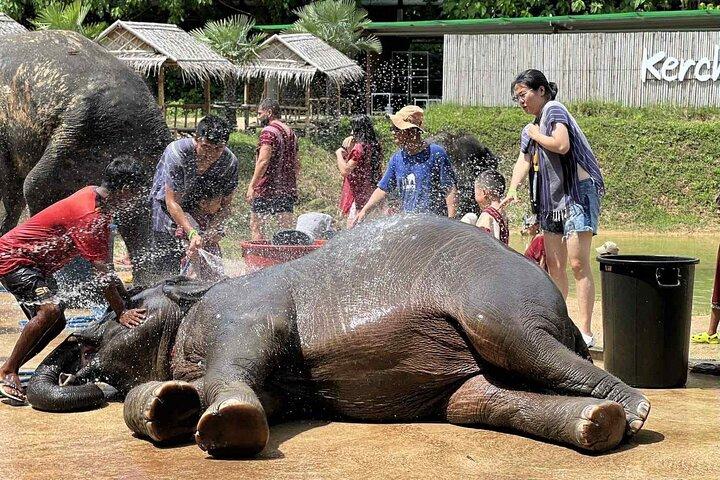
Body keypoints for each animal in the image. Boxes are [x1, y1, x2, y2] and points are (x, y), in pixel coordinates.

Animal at [26, 215, 650, 457]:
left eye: (121, 309)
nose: (78, 350)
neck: (189, 298)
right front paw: (168, 405)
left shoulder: (245, 308)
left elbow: (250, 352)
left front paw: (226, 427)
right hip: (475, 372)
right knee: (483, 400)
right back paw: (598, 424)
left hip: (495, 297)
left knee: (520, 343)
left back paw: (632, 410)